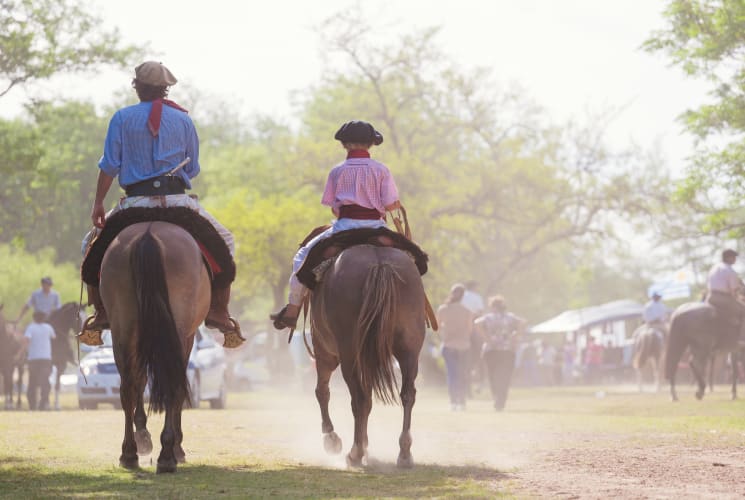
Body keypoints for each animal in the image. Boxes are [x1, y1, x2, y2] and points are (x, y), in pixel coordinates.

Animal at [100, 223, 211, 472]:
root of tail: (148, 233)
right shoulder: (187, 338)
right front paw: (175, 446)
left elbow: (140, 382)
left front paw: (143, 436)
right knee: (169, 384)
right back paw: (168, 455)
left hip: (122, 327)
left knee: (128, 387)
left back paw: (129, 453)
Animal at [308, 244, 424, 466]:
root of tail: (379, 264)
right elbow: (369, 400)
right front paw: (365, 442)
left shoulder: (324, 351)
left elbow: (322, 391)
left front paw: (332, 439)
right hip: (410, 349)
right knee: (407, 394)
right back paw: (404, 453)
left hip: (348, 354)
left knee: (358, 398)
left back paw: (355, 452)